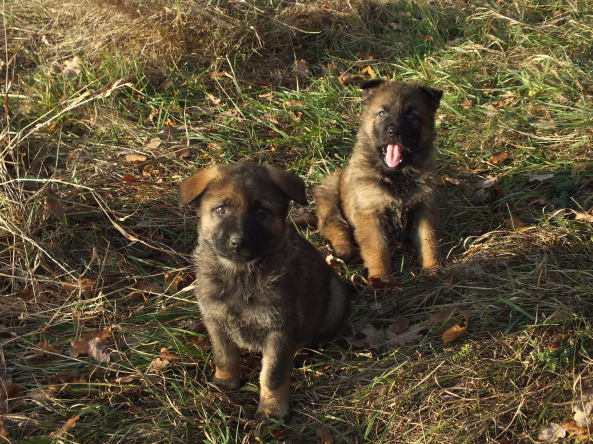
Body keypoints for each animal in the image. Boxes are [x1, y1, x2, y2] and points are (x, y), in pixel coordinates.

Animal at [179, 162, 350, 420]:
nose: (238, 242)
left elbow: (272, 375)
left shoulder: (279, 330)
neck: (240, 274)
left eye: (261, 212)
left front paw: (272, 410)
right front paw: (224, 383)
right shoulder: (216, 321)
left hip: (337, 298)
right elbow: (224, 356)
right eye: (221, 209)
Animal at [314, 79, 443, 284]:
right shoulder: (370, 214)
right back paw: (345, 249)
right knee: (333, 226)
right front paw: (380, 278)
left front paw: (433, 269)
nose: (393, 131)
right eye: (382, 112)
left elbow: (429, 241)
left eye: (412, 115)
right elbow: (377, 250)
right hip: (329, 190)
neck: (397, 175)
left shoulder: (424, 208)